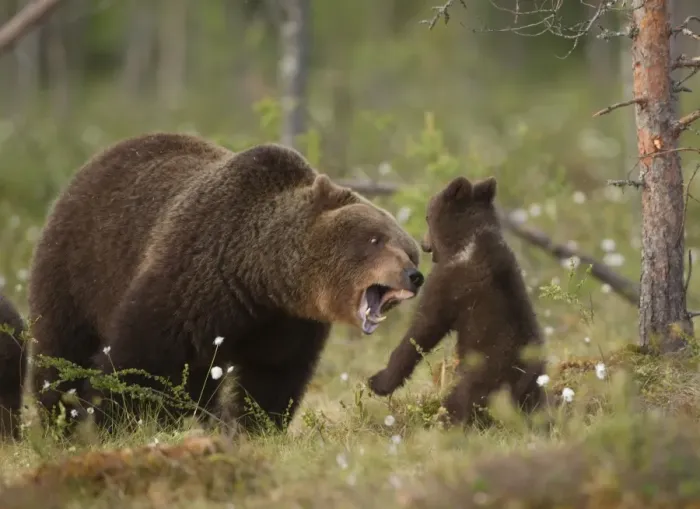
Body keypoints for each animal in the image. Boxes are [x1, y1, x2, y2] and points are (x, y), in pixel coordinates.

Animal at [27, 132, 425, 434]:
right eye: (376, 239)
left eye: (411, 251)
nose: (415, 276)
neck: (257, 276)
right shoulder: (190, 280)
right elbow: (136, 359)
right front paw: (107, 421)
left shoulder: (287, 322)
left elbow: (273, 376)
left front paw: (254, 426)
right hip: (77, 267)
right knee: (61, 348)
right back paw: (59, 419)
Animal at [367, 175, 546, 426]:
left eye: (427, 215)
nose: (424, 244)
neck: (467, 240)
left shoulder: (449, 282)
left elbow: (424, 327)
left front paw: (378, 381)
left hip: (481, 378)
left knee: (458, 403)